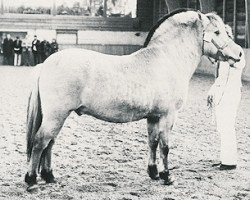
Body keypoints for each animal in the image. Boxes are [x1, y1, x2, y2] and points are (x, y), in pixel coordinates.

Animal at [24, 8, 243, 189]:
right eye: (217, 32)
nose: (240, 53)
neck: (167, 59)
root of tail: (46, 63)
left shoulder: (153, 117)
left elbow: (152, 142)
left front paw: (154, 173)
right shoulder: (168, 116)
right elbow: (165, 146)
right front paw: (167, 176)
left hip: (56, 116)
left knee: (50, 143)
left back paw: (49, 176)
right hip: (57, 115)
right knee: (41, 141)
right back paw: (32, 180)